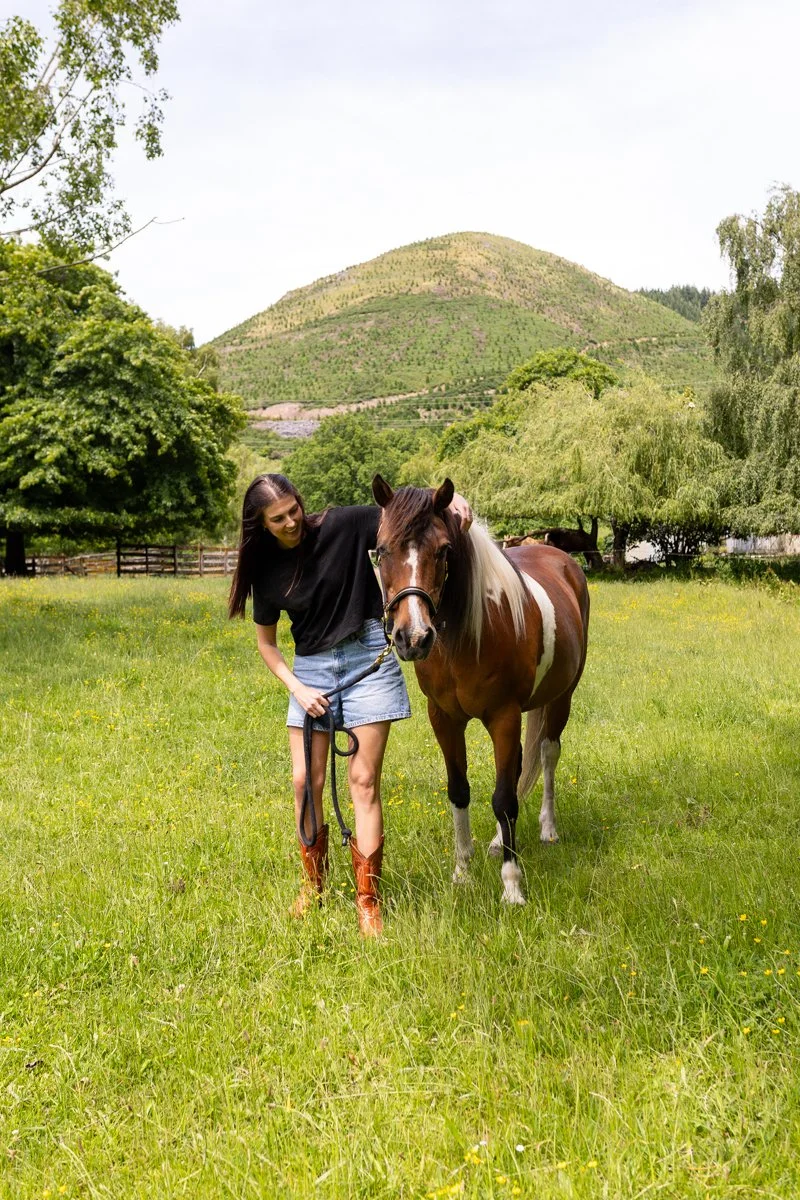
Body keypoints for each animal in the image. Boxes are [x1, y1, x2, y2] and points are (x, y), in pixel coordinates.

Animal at [371, 475, 590, 905]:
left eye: (444, 550)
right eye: (382, 549)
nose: (413, 637)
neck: (466, 638)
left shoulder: (503, 717)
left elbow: (504, 799)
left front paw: (512, 886)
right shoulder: (444, 719)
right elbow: (460, 791)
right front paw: (462, 873)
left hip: (561, 698)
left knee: (548, 754)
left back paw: (548, 829)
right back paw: (496, 842)